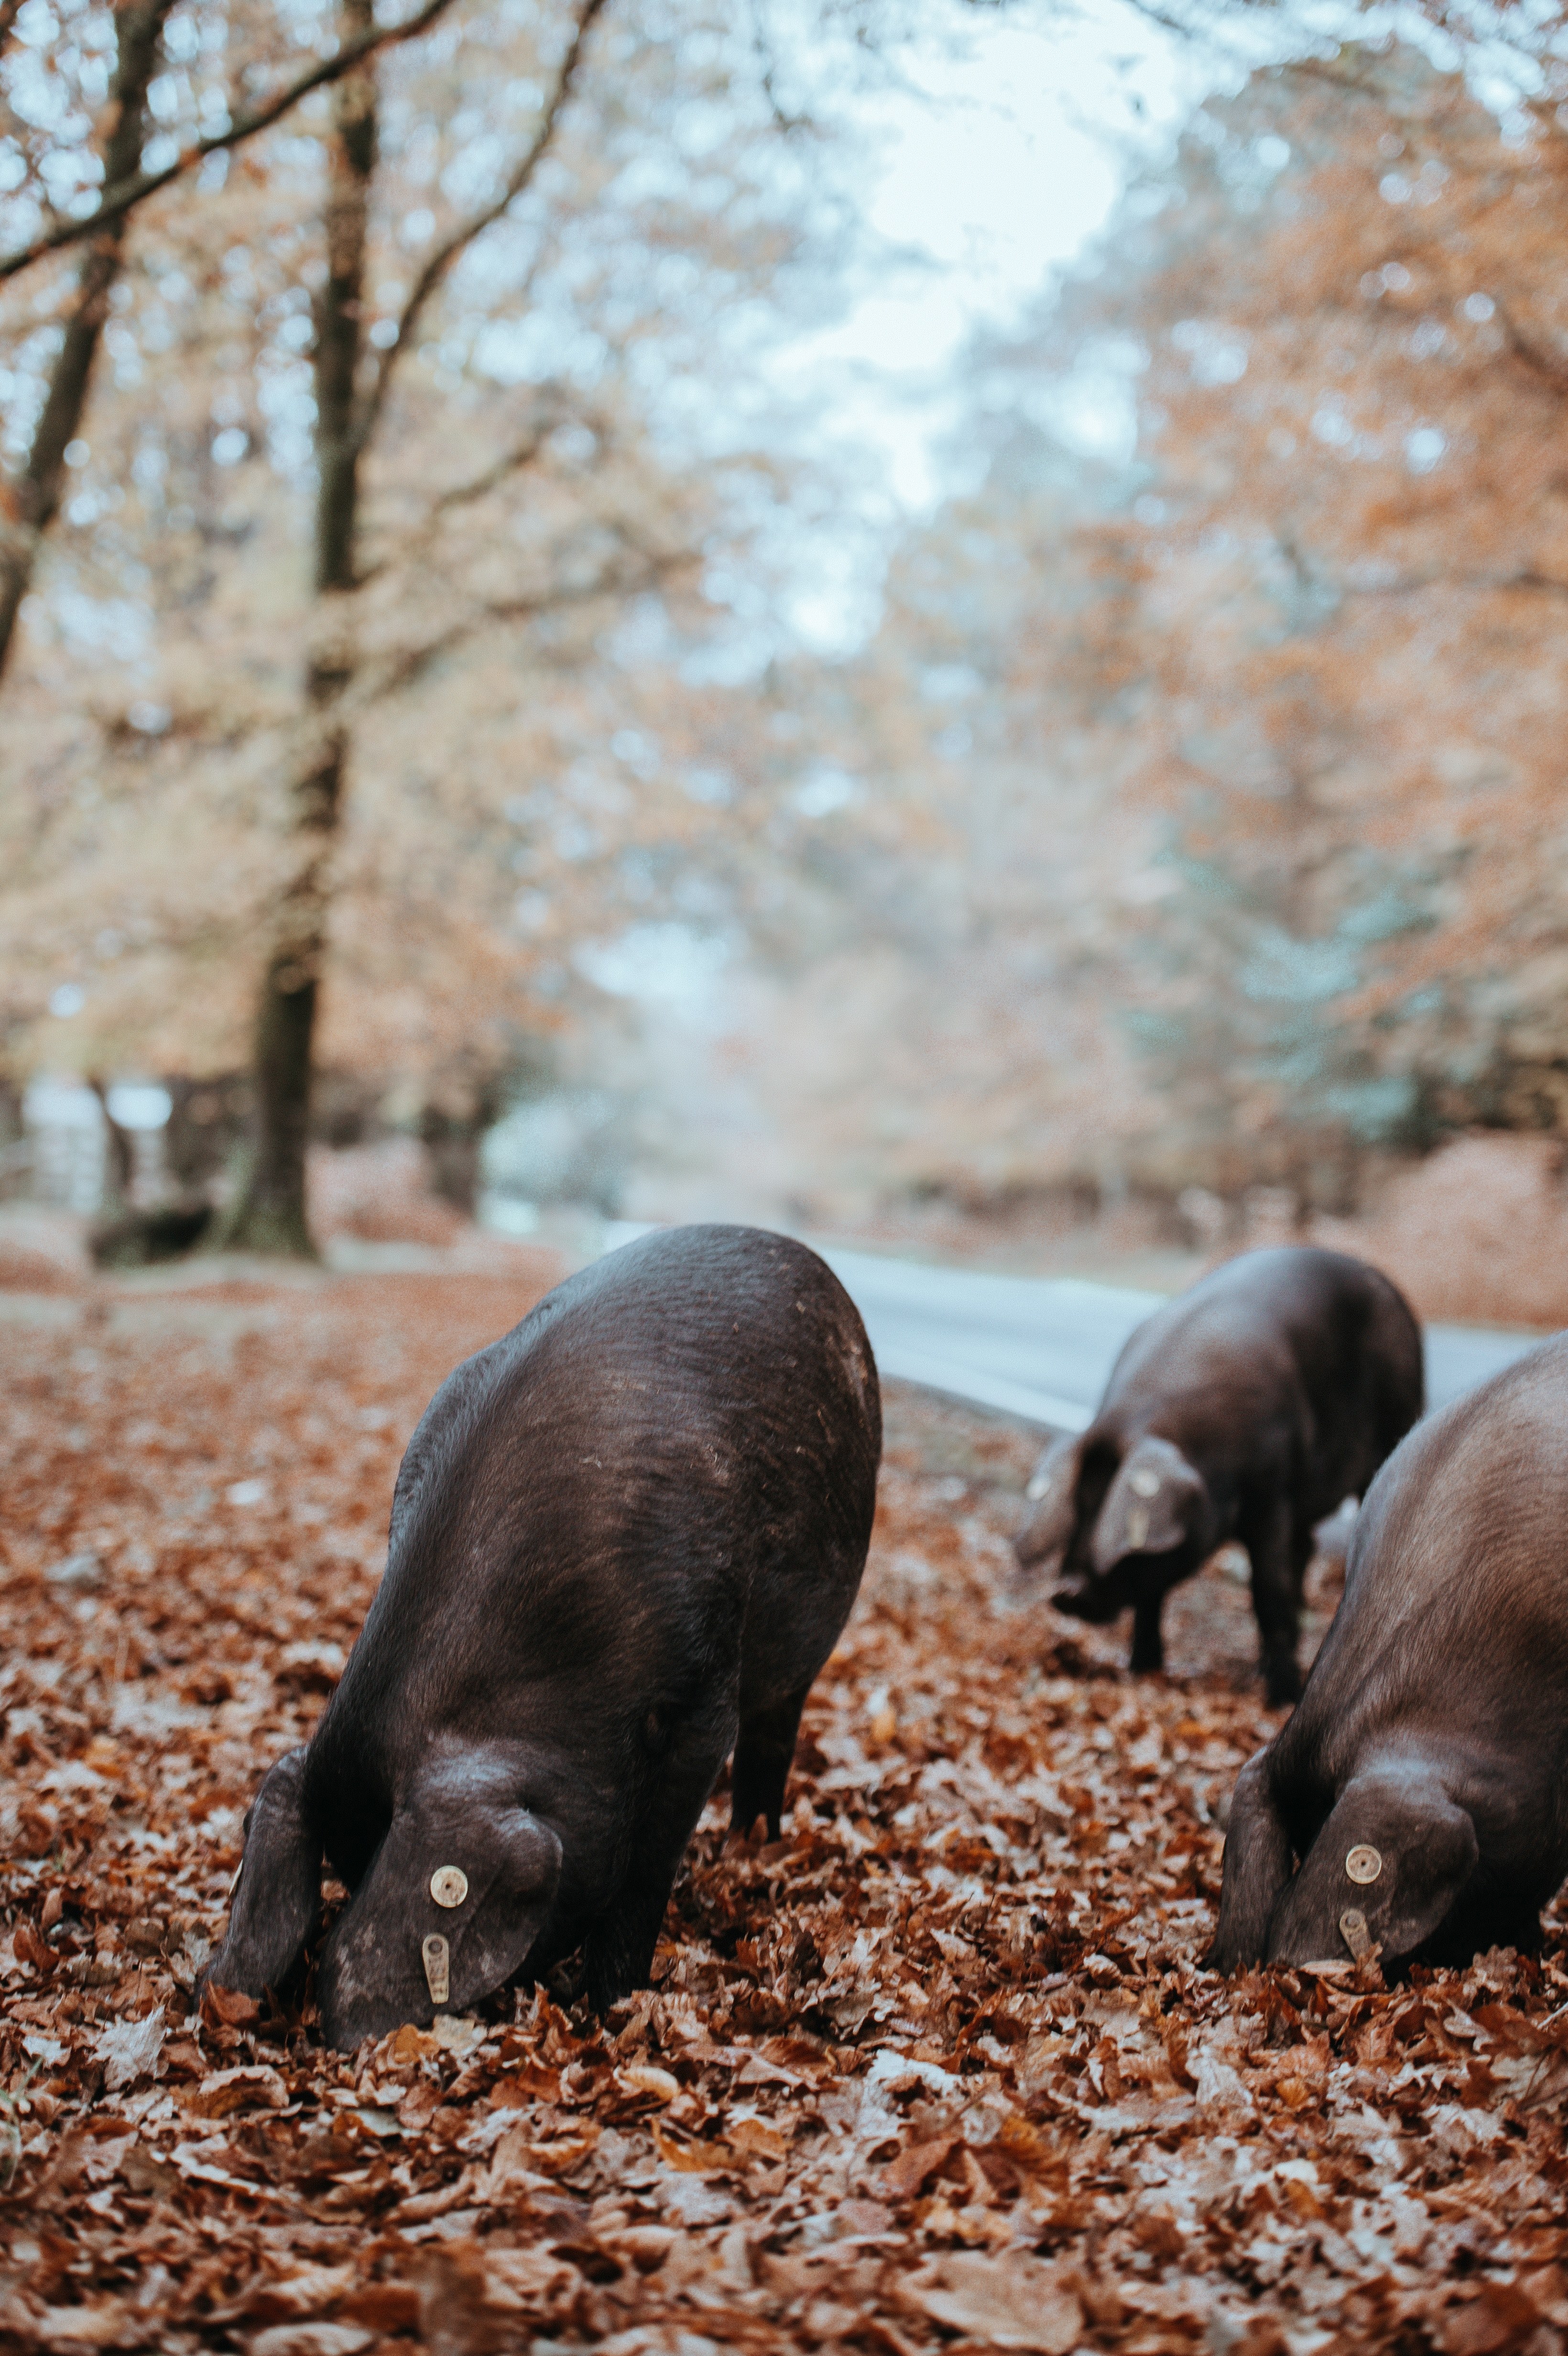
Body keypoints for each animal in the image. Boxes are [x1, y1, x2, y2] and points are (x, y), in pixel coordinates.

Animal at [1012, 1247, 1423, 1704]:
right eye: (1081, 1505)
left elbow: (1267, 1593)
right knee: (1306, 1548)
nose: (1066, 1591)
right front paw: (1142, 1671)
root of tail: (1390, 1290)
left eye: (1108, 1513)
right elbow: (1151, 1598)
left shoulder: (1271, 1493)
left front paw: (1281, 1701)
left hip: (1396, 1423)